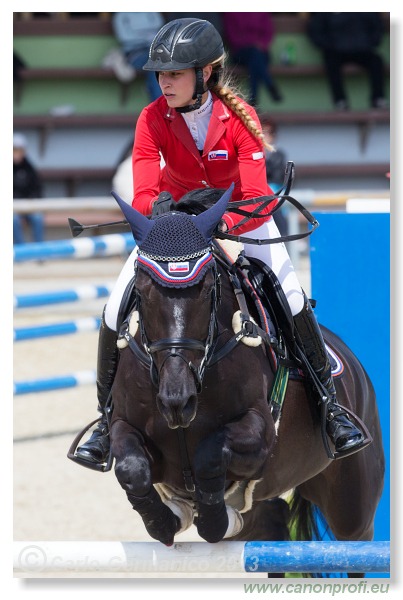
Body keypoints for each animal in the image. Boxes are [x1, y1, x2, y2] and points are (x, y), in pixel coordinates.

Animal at [109, 186, 386, 576]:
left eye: (207, 289)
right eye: (144, 289)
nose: (177, 402)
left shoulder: (260, 436)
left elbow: (211, 453)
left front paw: (210, 519)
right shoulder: (125, 426)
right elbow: (131, 467)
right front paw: (164, 522)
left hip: (351, 503)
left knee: (355, 548)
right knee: (273, 530)